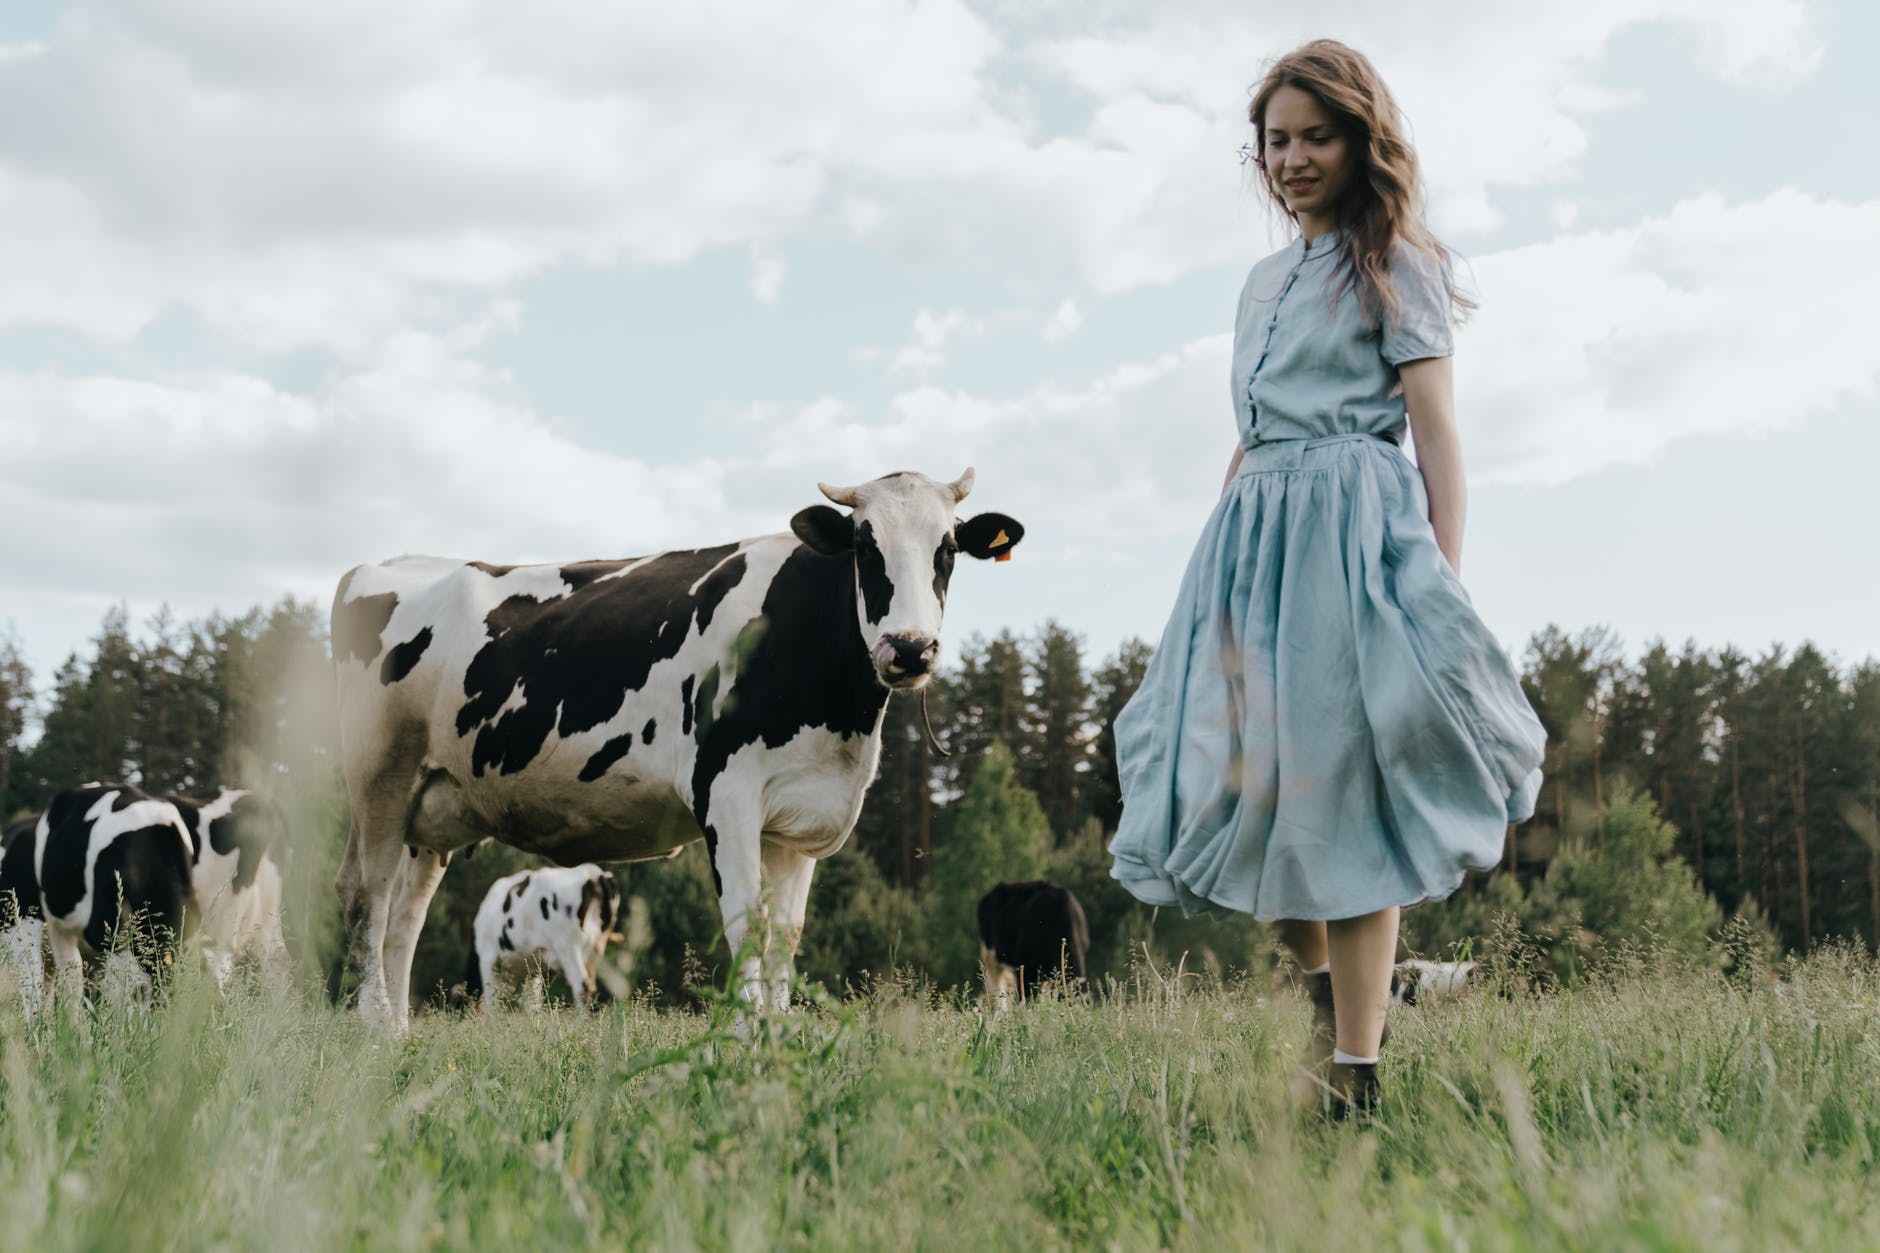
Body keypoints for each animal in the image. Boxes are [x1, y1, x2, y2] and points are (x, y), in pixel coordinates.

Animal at [466, 865, 627, 1008]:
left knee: (583, 986)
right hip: (596, 948)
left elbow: (490, 1002)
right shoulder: (532, 971)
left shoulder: (488, 959)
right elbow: (532, 1003)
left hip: (568, 947)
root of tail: (594, 874)